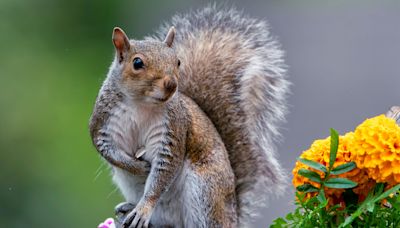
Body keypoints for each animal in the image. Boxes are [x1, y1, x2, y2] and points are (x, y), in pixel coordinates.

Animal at [89, 5, 290, 228]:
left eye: (177, 61)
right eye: (137, 62)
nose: (171, 84)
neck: (141, 104)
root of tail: (233, 215)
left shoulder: (172, 131)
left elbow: (162, 176)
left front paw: (143, 209)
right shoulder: (102, 125)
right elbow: (108, 151)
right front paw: (139, 167)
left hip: (206, 191)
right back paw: (129, 208)